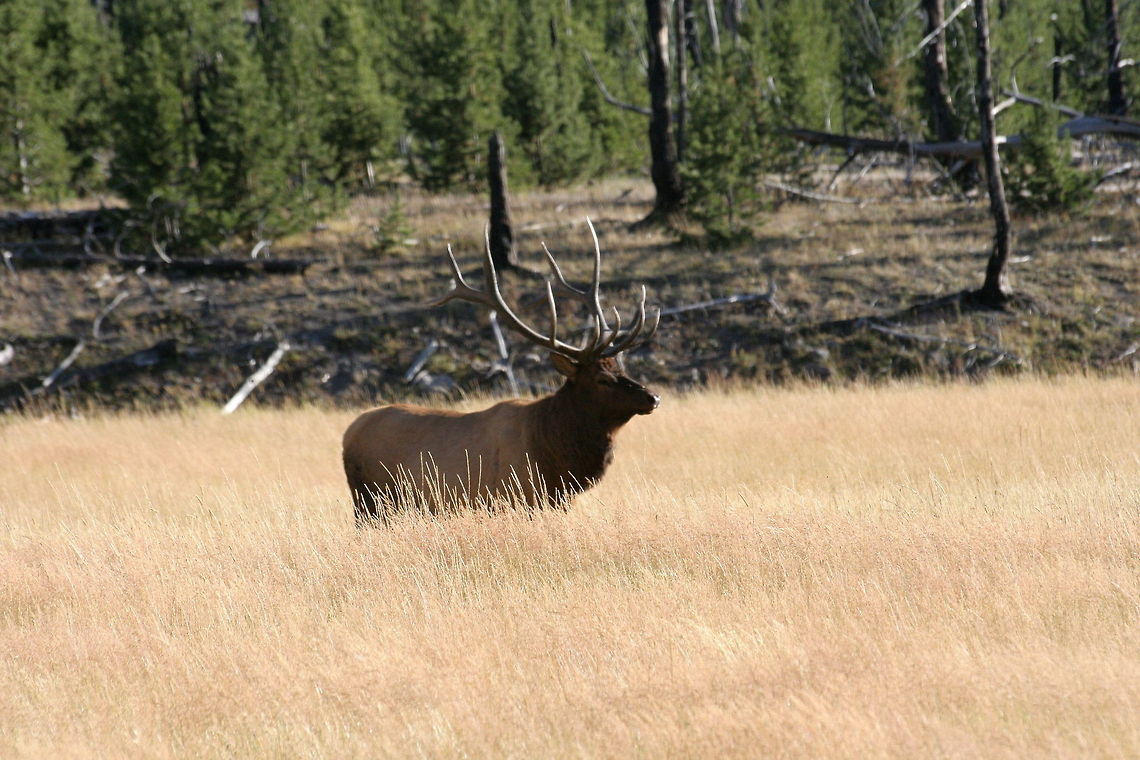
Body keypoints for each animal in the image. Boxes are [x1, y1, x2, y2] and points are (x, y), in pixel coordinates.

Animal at [342, 219, 660, 525]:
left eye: (622, 367)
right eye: (601, 379)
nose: (653, 397)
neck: (556, 456)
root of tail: (348, 433)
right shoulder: (513, 496)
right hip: (370, 499)